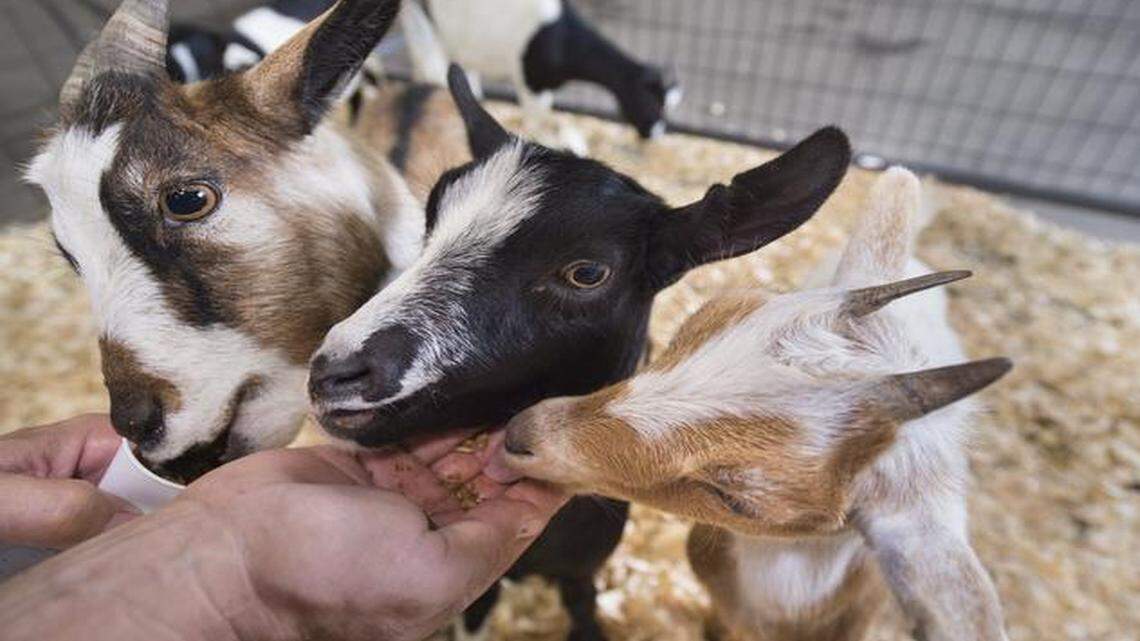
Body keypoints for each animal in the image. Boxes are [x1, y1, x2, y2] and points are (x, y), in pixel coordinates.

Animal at [405, 0, 680, 151]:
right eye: (654, 101)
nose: (657, 133)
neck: (562, 39)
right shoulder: (532, 84)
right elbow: (535, 124)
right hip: (425, 23)